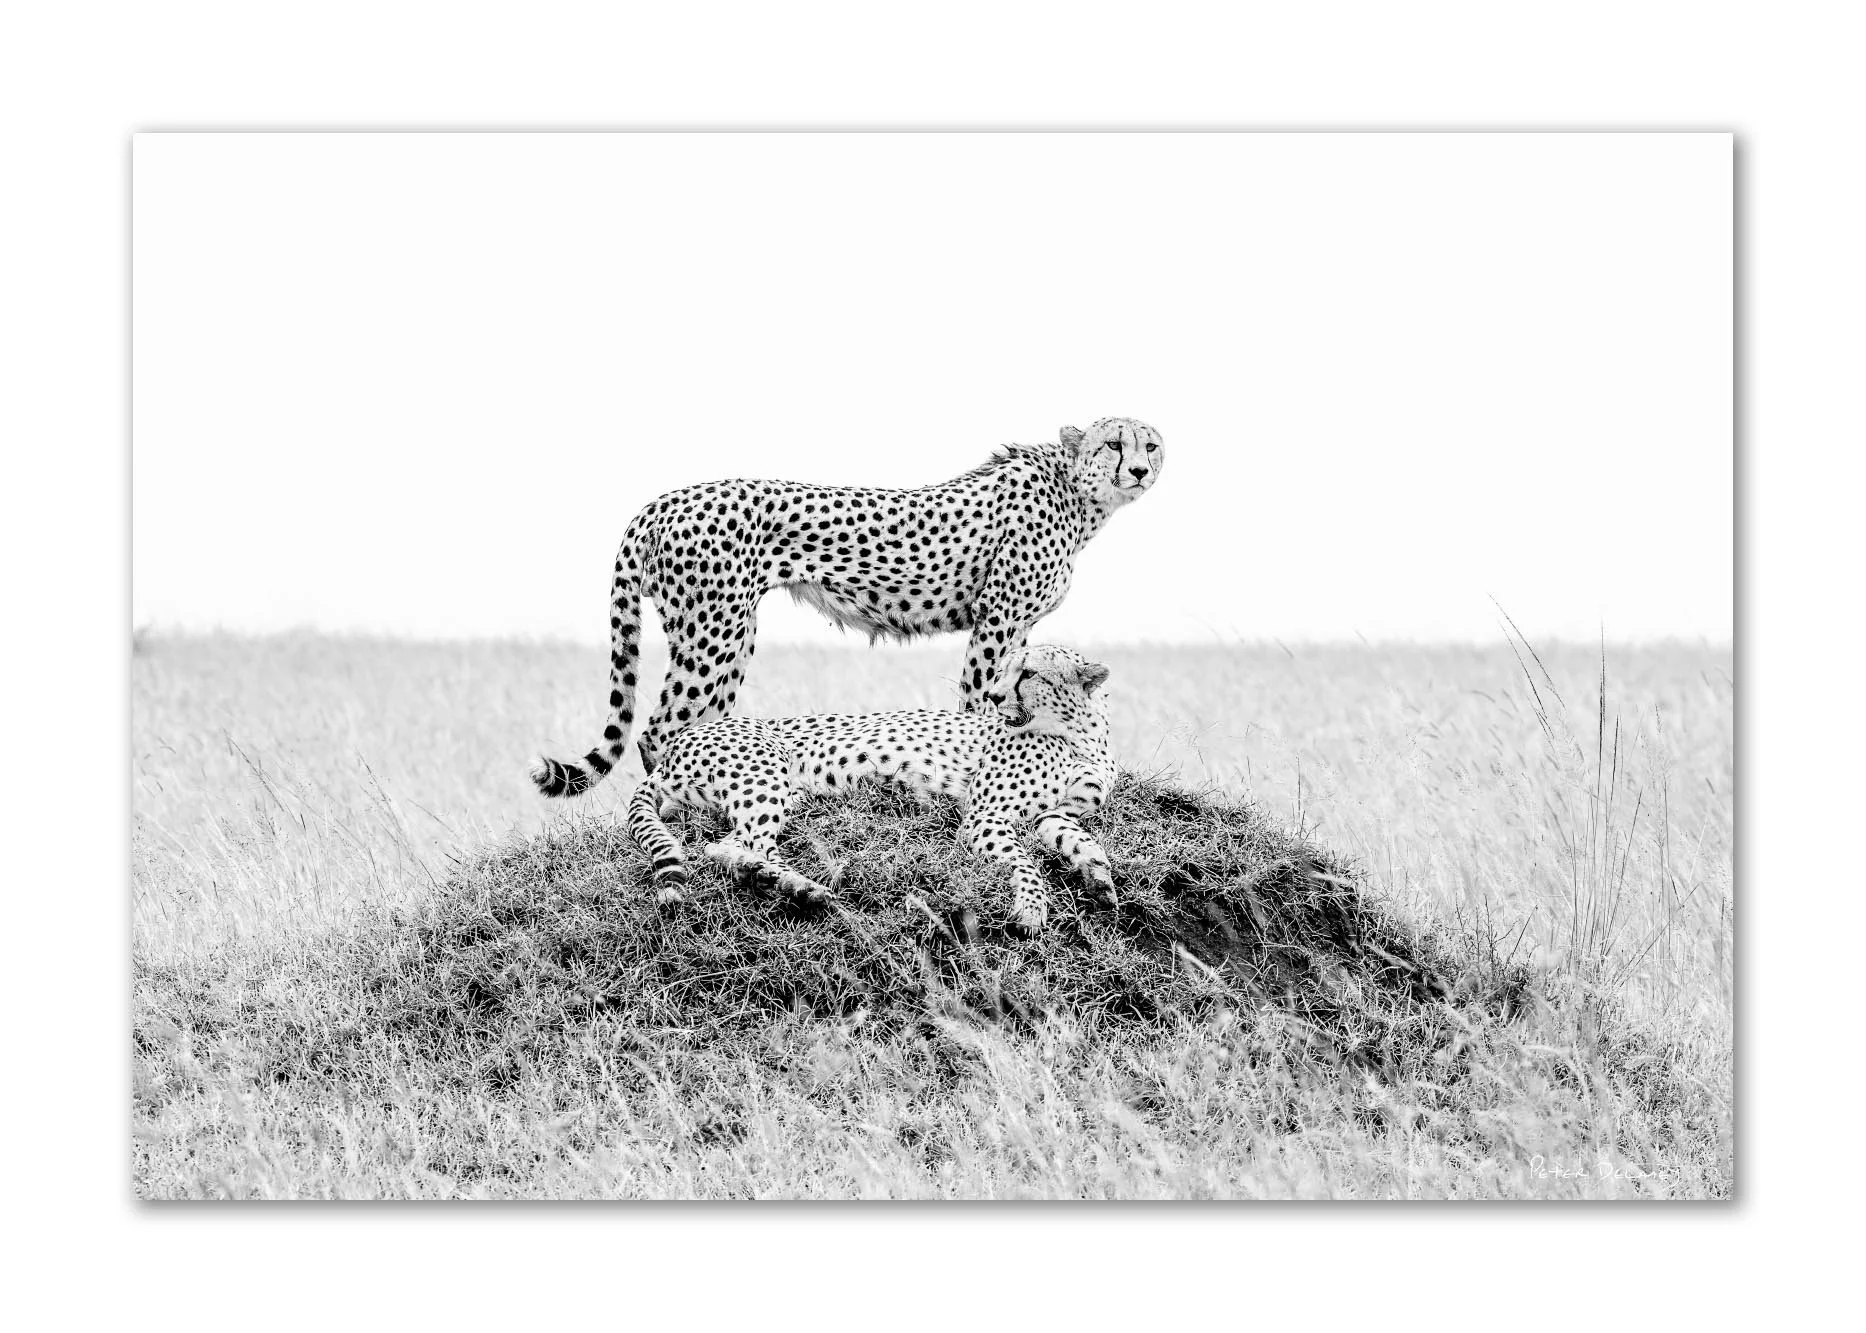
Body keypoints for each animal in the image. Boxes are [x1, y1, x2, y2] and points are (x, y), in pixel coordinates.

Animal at [530, 417, 1161, 796]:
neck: (1078, 494)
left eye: (1150, 444)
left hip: (728, 633)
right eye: (1114, 444)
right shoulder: (998, 620)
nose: (1139, 469)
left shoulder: (1019, 626)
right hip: (715, 630)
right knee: (659, 728)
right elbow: (981, 697)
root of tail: (662, 499)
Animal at [624, 644, 1119, 936]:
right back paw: (798, 885)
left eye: (1029, 673)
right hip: (766, 776)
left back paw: (774, 879)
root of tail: (675, 746)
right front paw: (1032, 908)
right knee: (739, 843)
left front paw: (1099, 879)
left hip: (782, 793)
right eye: (1003, 671)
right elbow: (1025, 864)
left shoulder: (1056, 814)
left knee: (722, 845)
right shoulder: (985, 816)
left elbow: (1083, 841)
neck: (1079, 733)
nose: (995, 698)